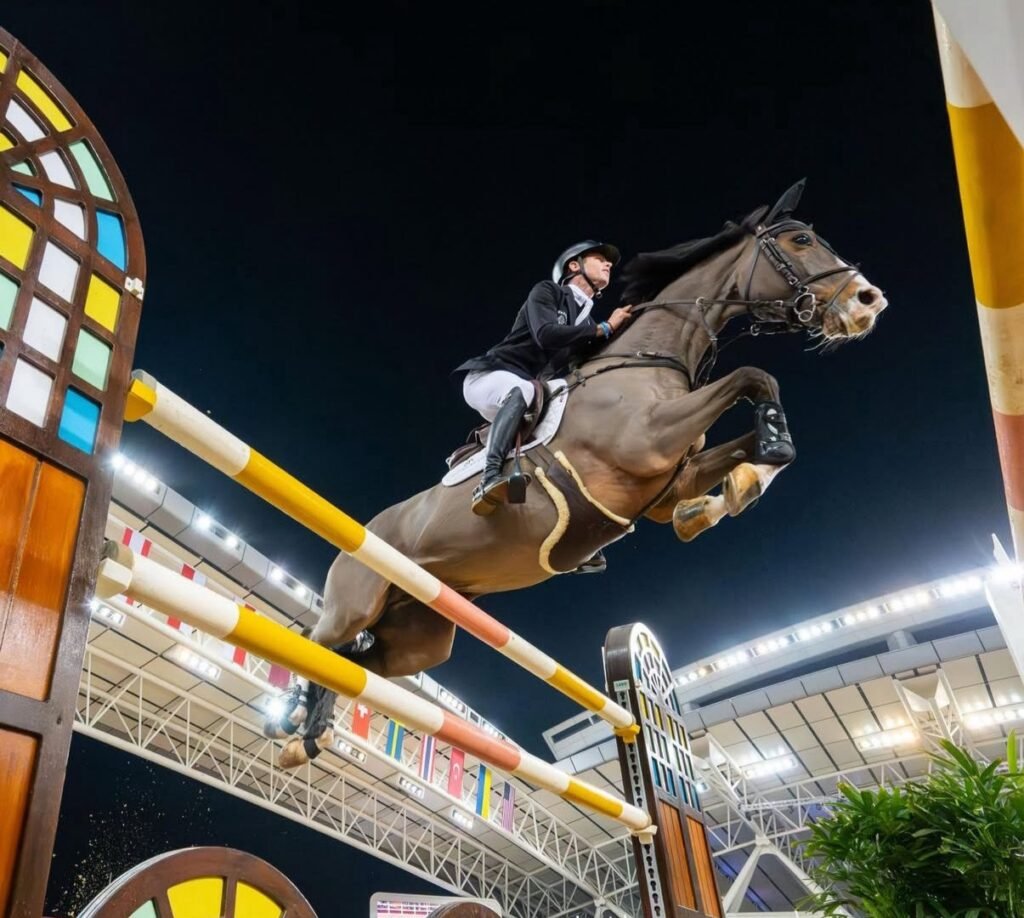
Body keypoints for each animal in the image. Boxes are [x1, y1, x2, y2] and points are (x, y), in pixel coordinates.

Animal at [265, 181, 887, 765]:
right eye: (799, 239)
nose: (868, 301)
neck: (650, 358)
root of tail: (363, 531)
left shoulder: (669, 480)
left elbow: (735, 452)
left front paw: (724, 496)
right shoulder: (647, 441)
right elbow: (755, 376)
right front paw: (759, 460)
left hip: (420, 634)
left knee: (356, 661)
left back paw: (307, 736)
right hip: (356, 601)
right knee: (323, 640)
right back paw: (291, 724)